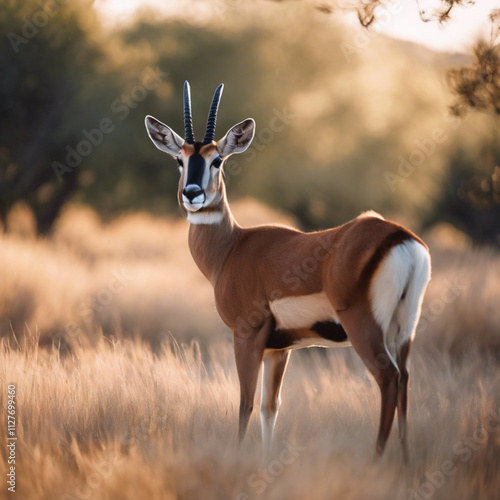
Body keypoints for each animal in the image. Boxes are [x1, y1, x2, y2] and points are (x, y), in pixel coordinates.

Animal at [144, 82, 430, 460]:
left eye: (216, 159)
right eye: (181, 158)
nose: (192, 194)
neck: (232, 247)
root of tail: (399, 236)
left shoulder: (247, 335)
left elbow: (246, 405)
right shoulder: (280, 349)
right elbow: (270, 408)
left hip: (365, 330)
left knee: (389, 380)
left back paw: (376, 462)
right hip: (404, 333)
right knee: (406, 381)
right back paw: (407, 462)